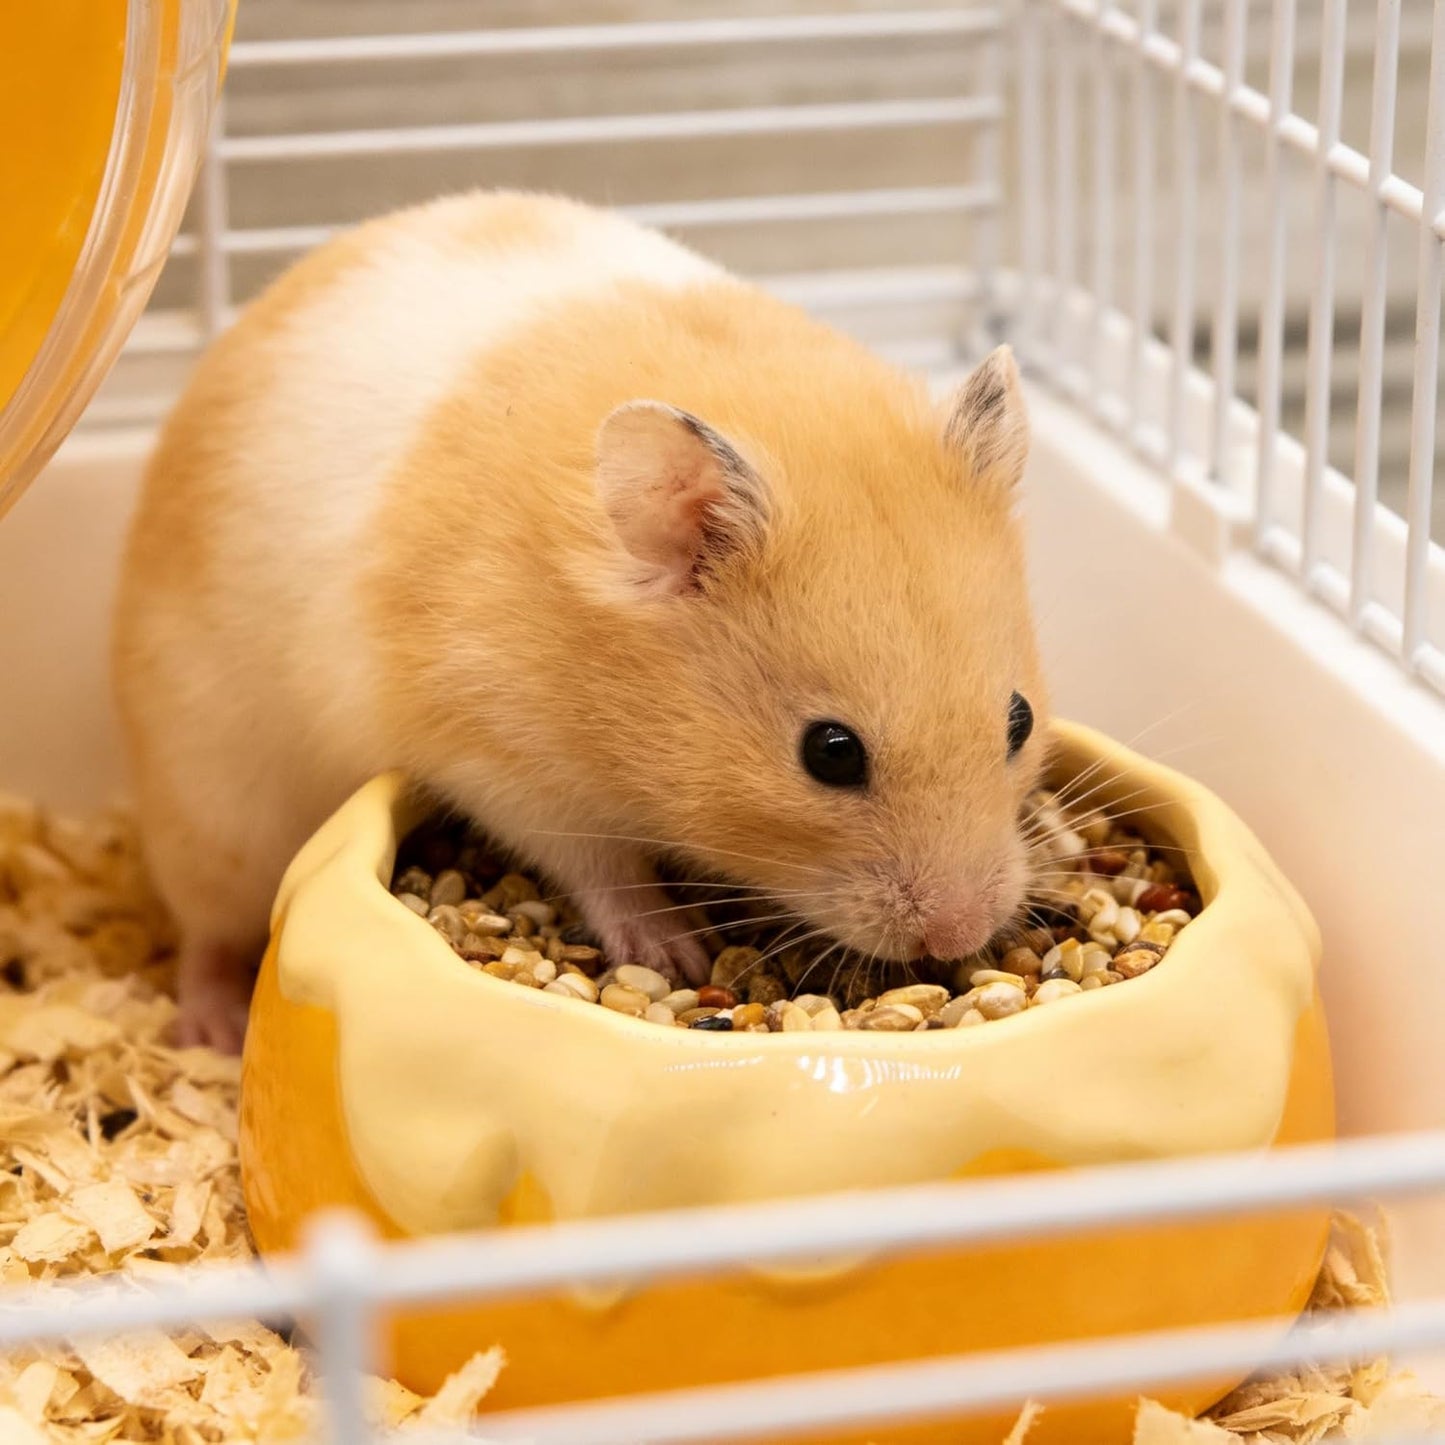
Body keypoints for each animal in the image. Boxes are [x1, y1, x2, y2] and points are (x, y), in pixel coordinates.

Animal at [112, 190, 1049, 1052]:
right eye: (829, 753)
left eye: (1019, 718)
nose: (960, 933)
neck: (613, 692)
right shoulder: (499, 755)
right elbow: (597, 864)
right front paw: (675, 951)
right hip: (217, 808)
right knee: (206, 931)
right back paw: (212, 1030)